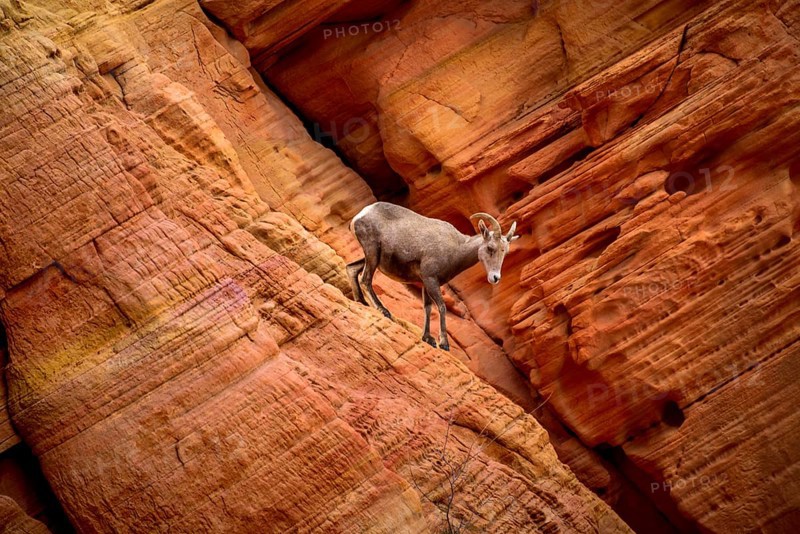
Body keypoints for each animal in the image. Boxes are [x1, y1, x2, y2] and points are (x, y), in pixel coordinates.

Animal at [347, 202, 519, 351]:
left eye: (505, 252)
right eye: (490, 248)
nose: (495, 277)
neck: (456, 249)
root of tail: (360, 215)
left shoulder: (425, 282)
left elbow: (428, 308)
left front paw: (428, 338)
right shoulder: (431, 280)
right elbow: (442, 307)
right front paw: (443, 344)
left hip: (372, 258)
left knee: (351, 269)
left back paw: (361, 302)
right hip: (372, 253)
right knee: (365, 279)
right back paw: (383, 311)